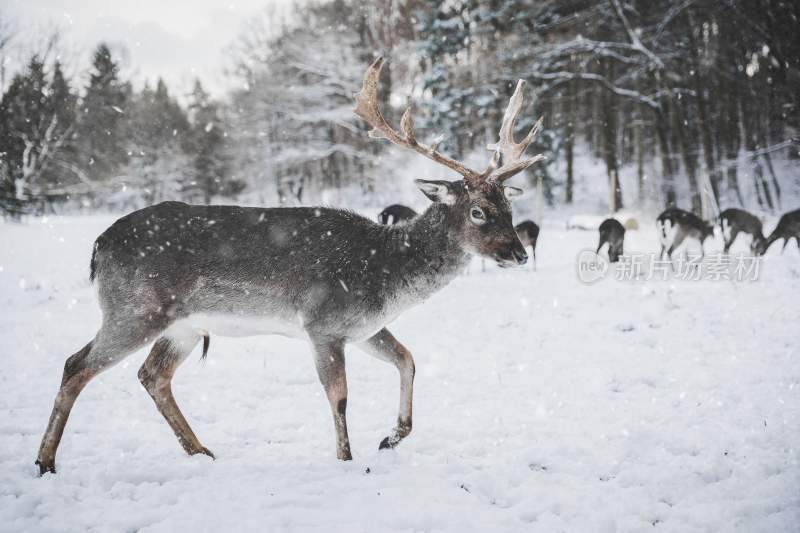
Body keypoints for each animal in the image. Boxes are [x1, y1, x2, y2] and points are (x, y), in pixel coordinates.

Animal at [32, 57, 544, 474]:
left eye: (508, 205)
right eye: (477, 211)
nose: (518, 253)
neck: (384, 274)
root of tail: (98, 245)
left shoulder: (364, 326)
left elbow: (408, 359)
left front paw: (391, 438)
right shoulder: (323, 323)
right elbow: (339, 397)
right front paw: (347, 460)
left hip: (183, 325)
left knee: (152, 375)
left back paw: (202, 452)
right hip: (135, 308)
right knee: (76, 364)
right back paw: (46, 461)